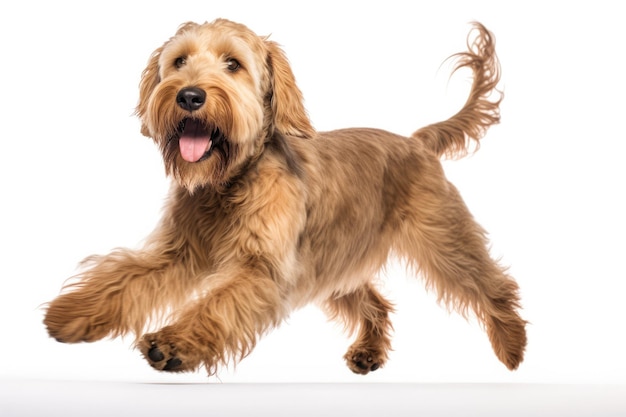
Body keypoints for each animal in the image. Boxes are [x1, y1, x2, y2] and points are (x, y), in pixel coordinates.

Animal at [44, 18, 524, 374]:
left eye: (233, 64)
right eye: (179, 61)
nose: (190, 95)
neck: (228, 183)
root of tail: (417, 141)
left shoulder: (262, 269)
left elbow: (216, 304)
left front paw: (172, 343)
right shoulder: (178, 251)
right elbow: (123, 277)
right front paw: (72, 313)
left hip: (444, 241)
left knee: (494, 285)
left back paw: (512, 344)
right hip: (334, 262)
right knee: (376, 303)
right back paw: (369, 351)